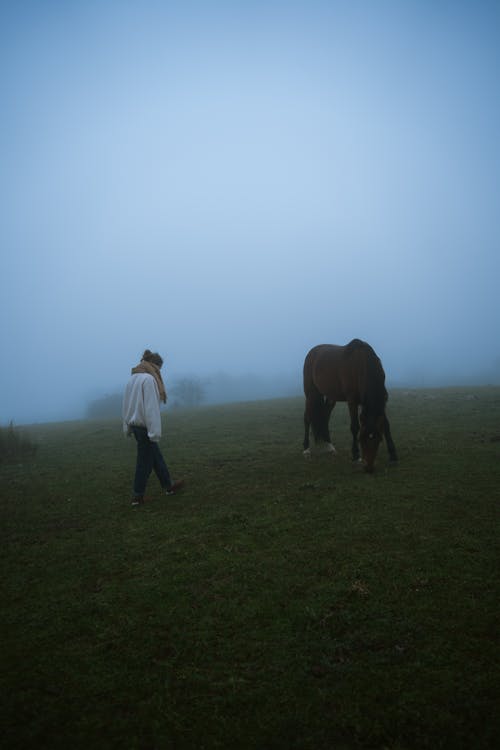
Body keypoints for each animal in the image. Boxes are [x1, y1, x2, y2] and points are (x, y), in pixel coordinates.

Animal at [302, 338, 396, 472]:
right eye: (361, 440)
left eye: (378, 439)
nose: (369, 468)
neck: (362, 364)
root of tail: (312, 353)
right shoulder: (352, 401)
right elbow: (355, 426)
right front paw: (356, 455)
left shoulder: (383, 400)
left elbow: (386, 425)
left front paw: (393, 455)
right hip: (310, 393)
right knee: (307, 418)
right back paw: (306, 450)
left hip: (331, 397)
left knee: (325, 417)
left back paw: (329, 446)